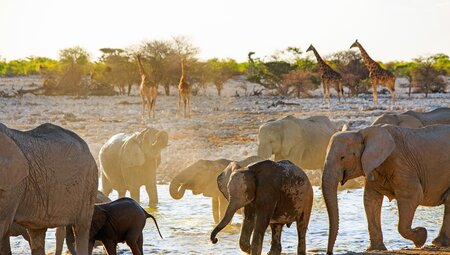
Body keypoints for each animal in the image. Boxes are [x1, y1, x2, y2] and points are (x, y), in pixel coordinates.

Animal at [320, 124, 450, 254]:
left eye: (342, 157)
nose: (329, 252)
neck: (362, 133)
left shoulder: (401, 164)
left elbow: (413, 196)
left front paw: (421, 236)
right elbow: (370, 199)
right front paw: (375, 249)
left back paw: (436, 243)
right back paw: (439, 243)